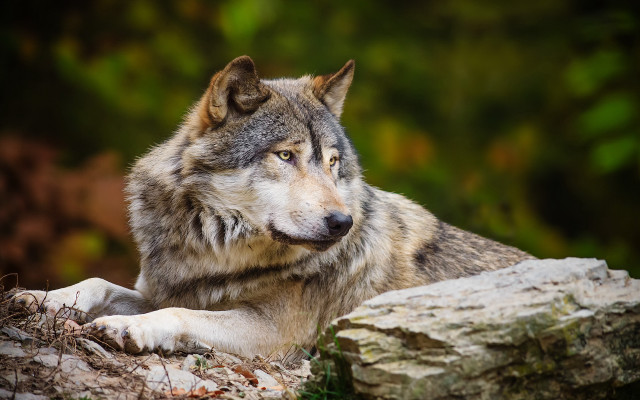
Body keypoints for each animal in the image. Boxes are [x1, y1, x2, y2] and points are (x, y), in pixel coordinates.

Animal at [14, 56, 533, 358]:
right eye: (286, 156)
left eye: (332, 163)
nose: (342, 222)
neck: (214, 250)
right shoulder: (167, 288)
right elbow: (98, 283)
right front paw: (40, 297)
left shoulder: (276, 334)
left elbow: (178, 316)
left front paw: (127, 327)